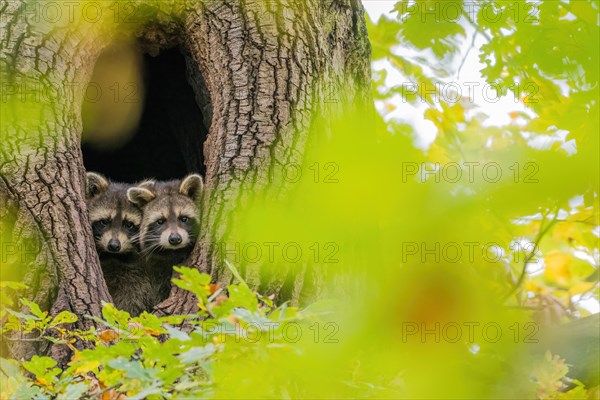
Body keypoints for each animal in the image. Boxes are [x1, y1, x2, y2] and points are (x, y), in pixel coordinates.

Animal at [85, 172, 155, 316]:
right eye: (104, 222)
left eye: (128, 224)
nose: (114, 246)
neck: (114, 256)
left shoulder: (137, 271)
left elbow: (134, 296)